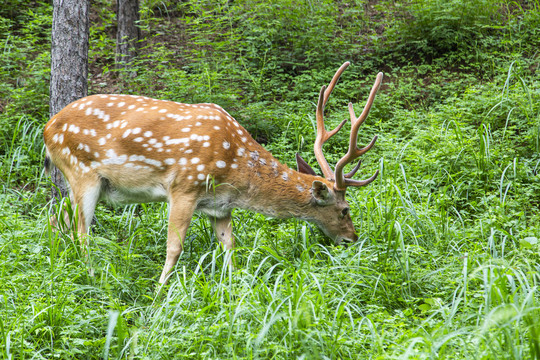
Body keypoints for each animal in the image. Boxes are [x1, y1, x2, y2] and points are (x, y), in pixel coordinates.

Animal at [44, 63, 382, 286]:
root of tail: (47, 130)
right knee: (82, 232)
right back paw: (93, 278)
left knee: (57, 219)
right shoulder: (184, 187)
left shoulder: (220, 207)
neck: (236, 171)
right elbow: (174, 247)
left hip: (87, 183)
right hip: (81, 171)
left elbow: (228, 247)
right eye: (344, 209)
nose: (352, 239)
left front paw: (233, 290)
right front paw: (159, 294)